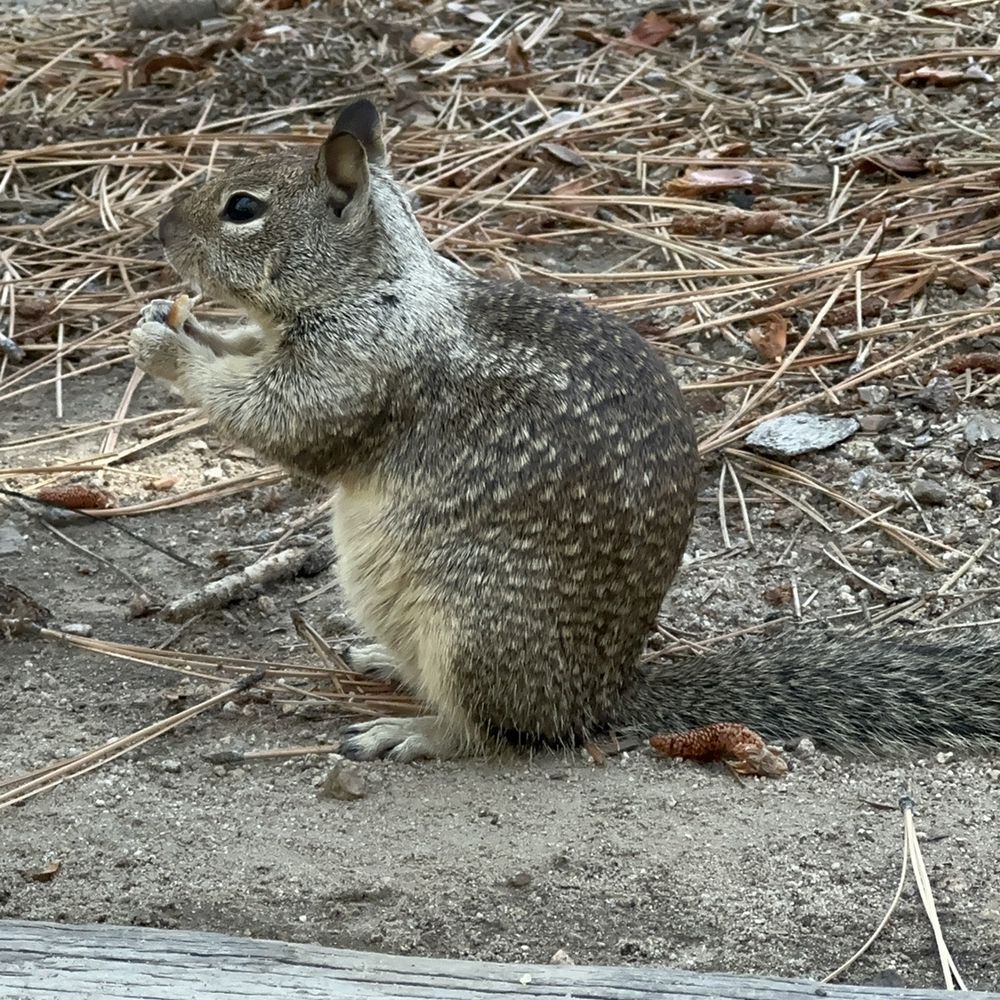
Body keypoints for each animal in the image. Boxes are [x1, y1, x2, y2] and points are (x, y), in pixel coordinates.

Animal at [129, 99, 1000, 762]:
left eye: (243, 208)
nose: (160, 233)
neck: (378, 284)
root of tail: (599, 696)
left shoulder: (358, 368)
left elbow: (285, 422)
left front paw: (165, 346)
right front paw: (185, 324)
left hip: (474, 629)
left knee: (492, 733)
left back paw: (408, 732)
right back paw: (380, 660)